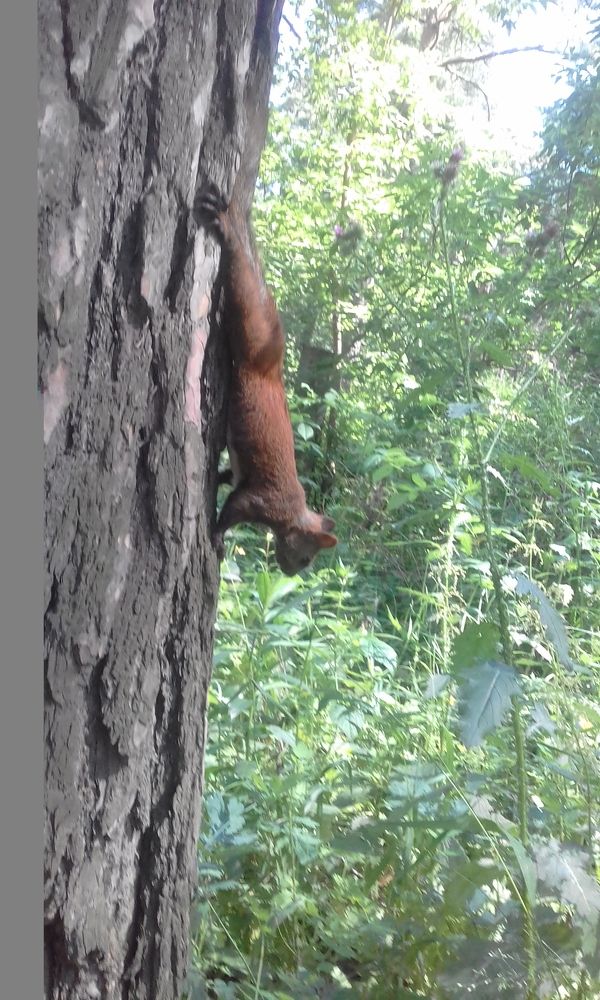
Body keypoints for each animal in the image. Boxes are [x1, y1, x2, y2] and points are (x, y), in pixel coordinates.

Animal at [198, 189, 337, 576]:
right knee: (242, 277)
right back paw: (227, 229)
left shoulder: (245, 482)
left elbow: (229, 477)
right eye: (306, 556)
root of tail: (274, 369)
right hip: (252, 332)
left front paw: (218, 477)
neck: (293, 514)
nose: (292, 572)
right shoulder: (261, 500)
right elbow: (231, 510)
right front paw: (216, 537)